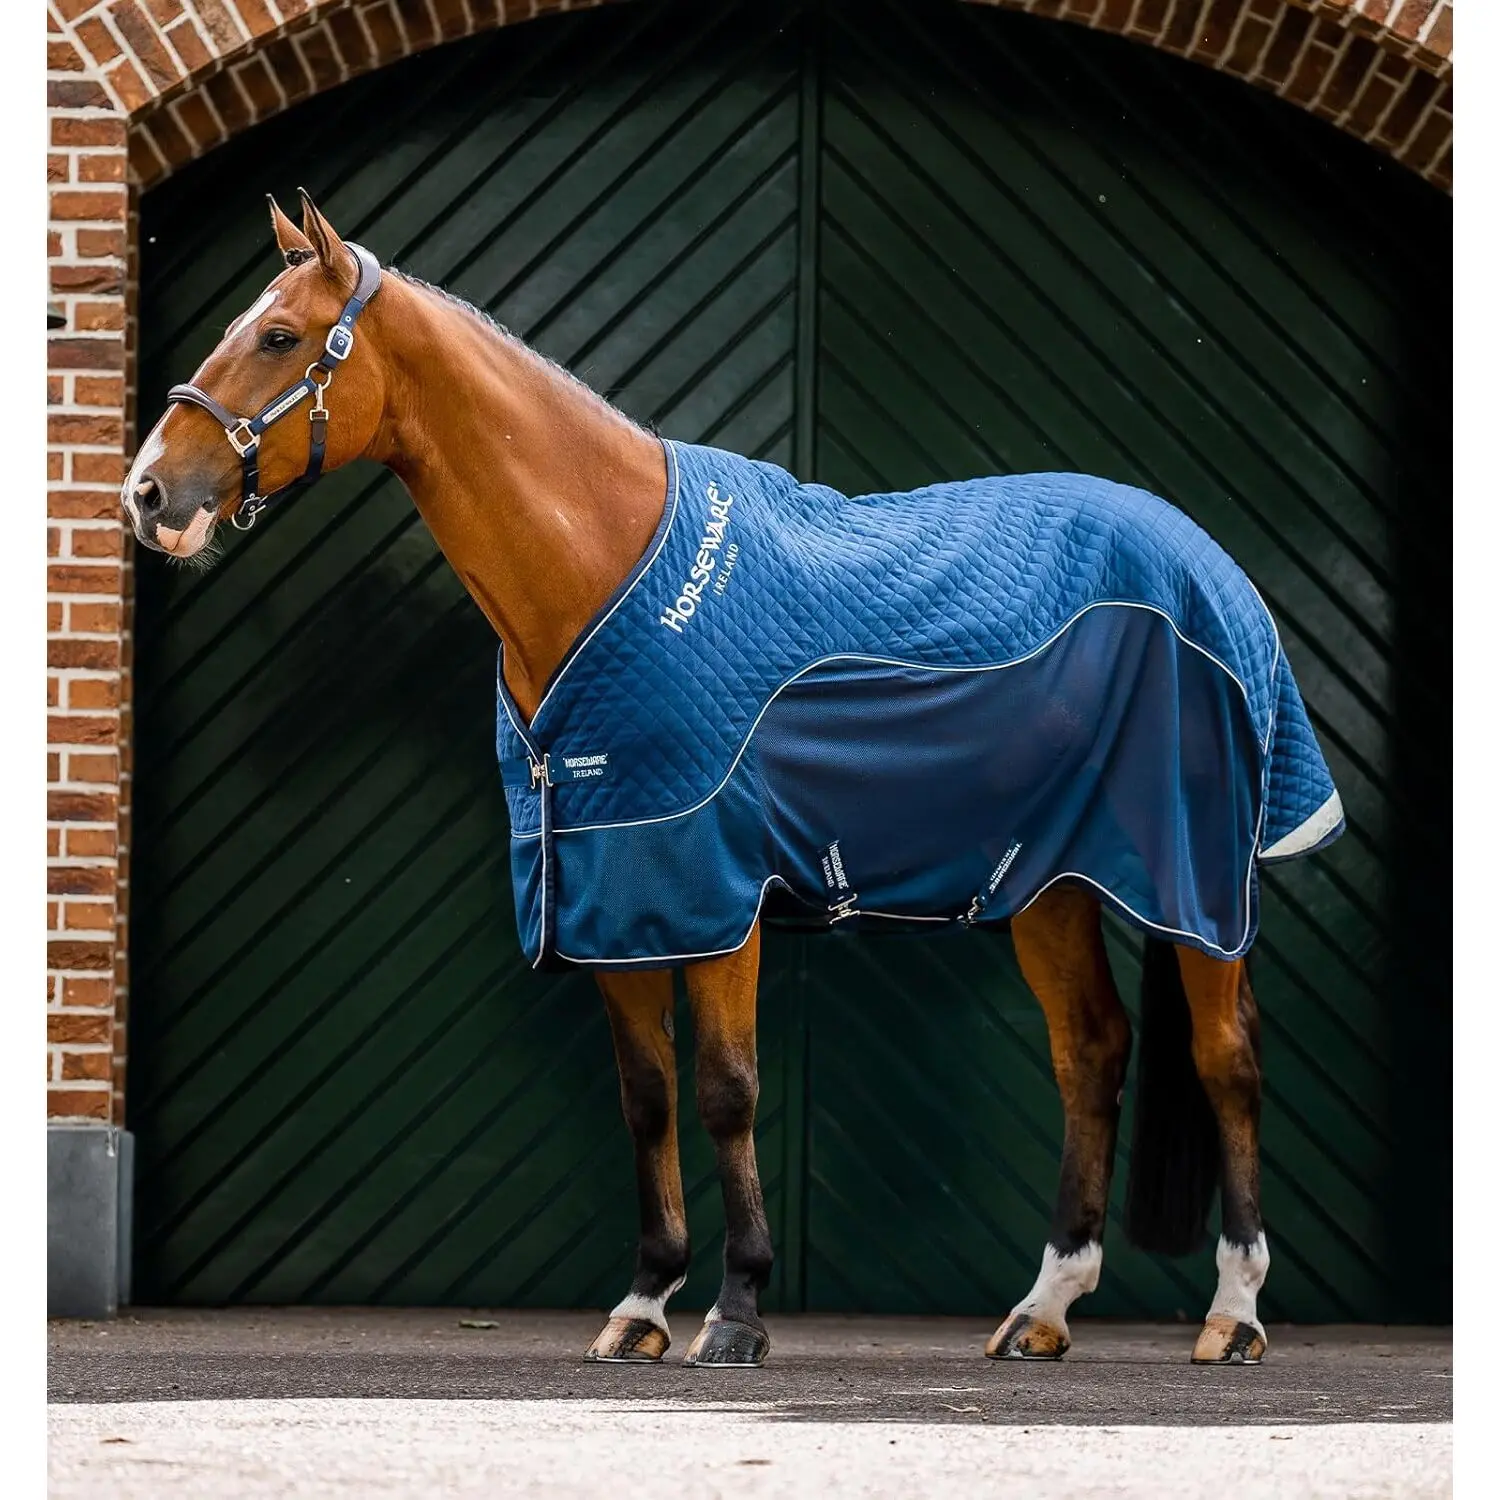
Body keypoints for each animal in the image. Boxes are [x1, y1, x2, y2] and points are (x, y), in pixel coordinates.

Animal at [122, 191, 1345, 1369]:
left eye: (279, 337)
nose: (147, 494)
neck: (602, 562)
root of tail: (1209, 566)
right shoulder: (610, 894)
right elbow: (647, 1099)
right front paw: (643, 1304)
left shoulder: (714, 892)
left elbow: (726, 1092)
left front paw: (740, 1310)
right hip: (1050, 881)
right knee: (1090, 1051)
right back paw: (1042, 1309)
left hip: (1195, 882)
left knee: (1226, 1060)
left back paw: (1233, 1314)